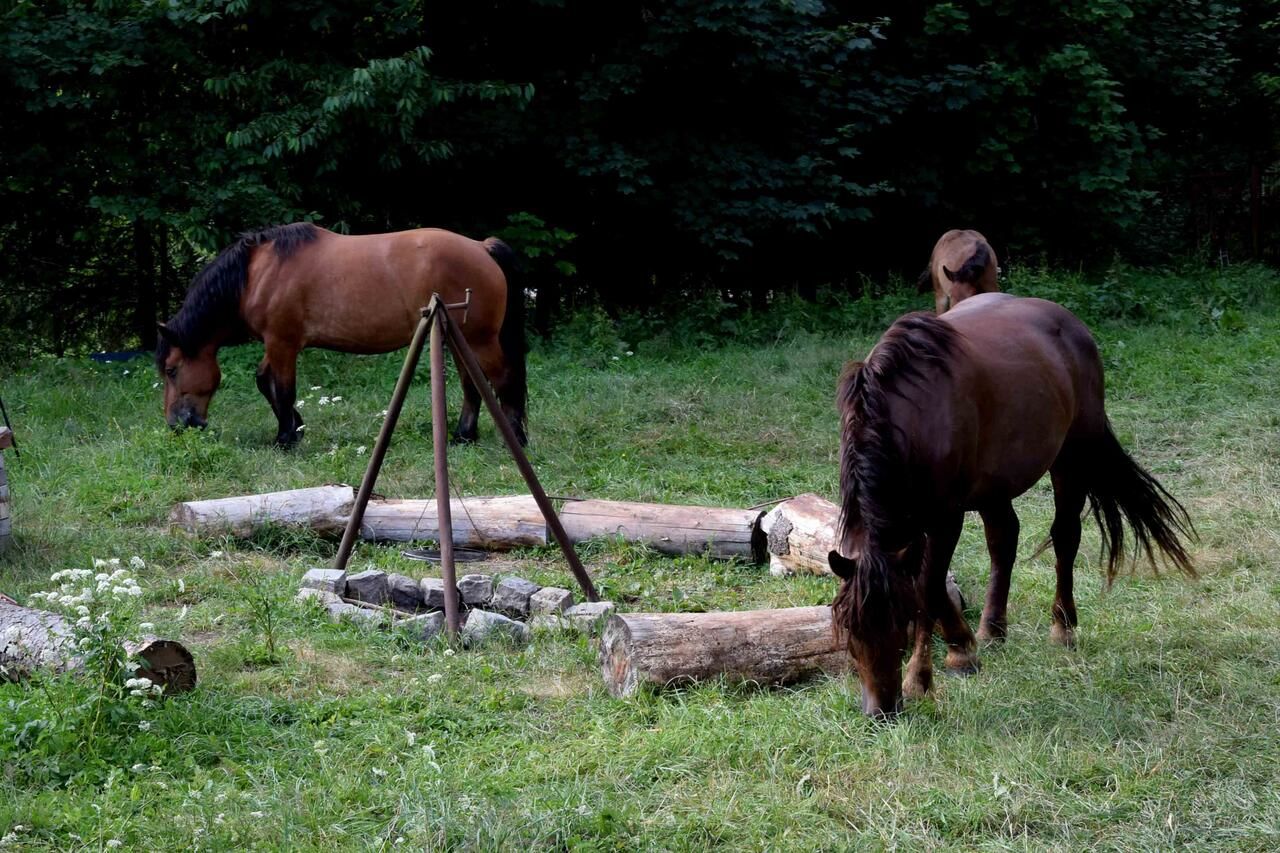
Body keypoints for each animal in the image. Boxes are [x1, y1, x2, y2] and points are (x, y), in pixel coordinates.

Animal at [156, 222, 529, 445]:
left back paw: (516, 440)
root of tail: (481, 247)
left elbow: (284, 390)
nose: (176, 425)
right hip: (459, 337)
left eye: (172, 370)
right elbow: (265, 382)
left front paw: (285, 438)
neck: (256, 273)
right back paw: (464, 436)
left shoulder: (282, 344)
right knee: (472, 385)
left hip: (480, 340)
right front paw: (296, 428)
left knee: (504, 379)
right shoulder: (274, 345)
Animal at [824, 292, 1192, 717]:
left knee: (1065, 537)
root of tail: (1070, 323)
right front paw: (962, 650)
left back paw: (1062, 628)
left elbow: (927, 589)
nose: (880, 710)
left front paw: (925, 675)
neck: (910, 419)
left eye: (900, 625)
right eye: (848, 632)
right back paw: (992, 629)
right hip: (994, 486)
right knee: (1004, 541)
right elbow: (929, 583)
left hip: (1071, 457)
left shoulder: (945, 517)